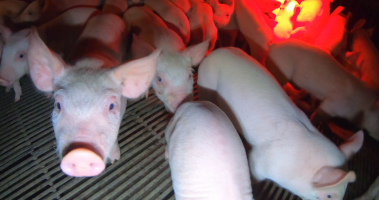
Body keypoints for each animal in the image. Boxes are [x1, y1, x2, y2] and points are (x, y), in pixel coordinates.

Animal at [27, 12, 161, 177]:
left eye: (111, 106)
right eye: (58, 104)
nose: (80, 153)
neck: (90, 63)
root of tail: (107, 13)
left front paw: (114, 160)